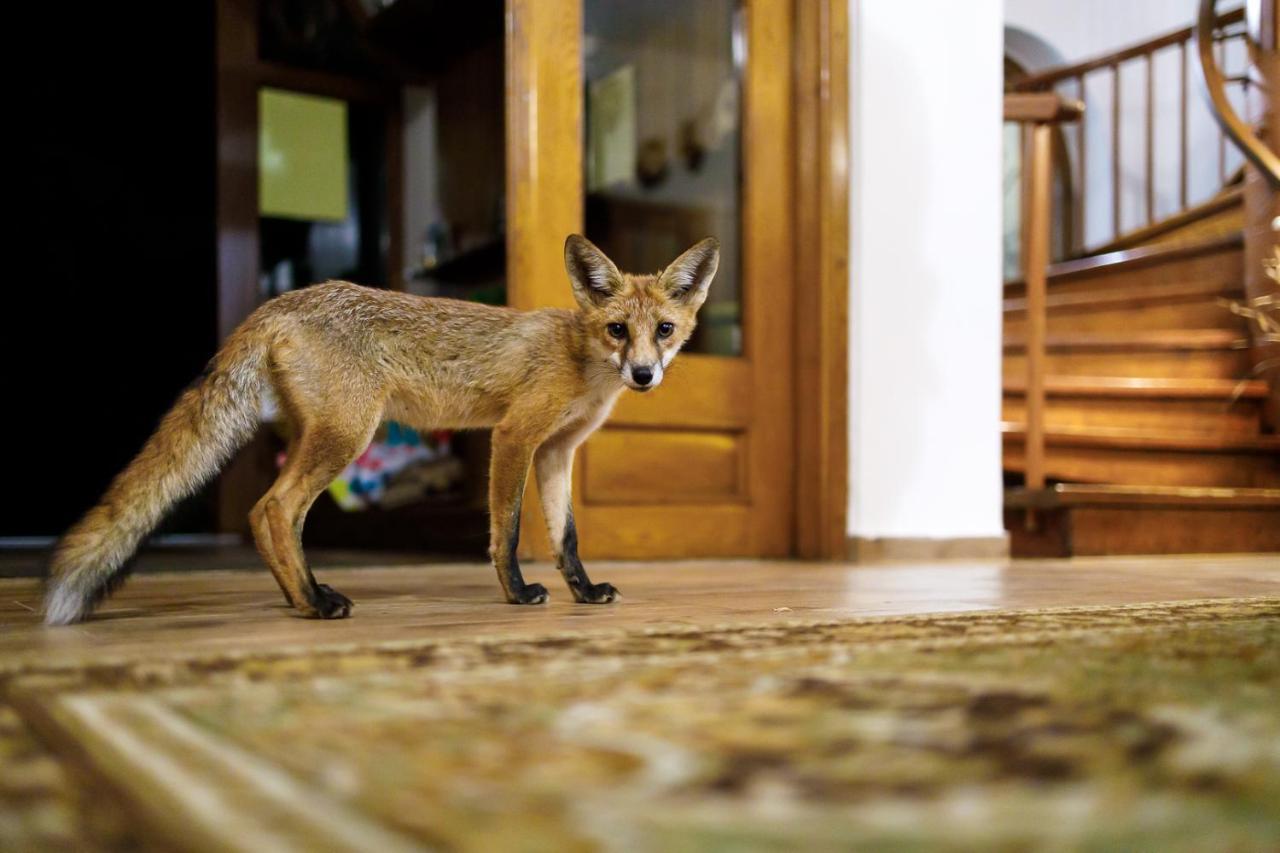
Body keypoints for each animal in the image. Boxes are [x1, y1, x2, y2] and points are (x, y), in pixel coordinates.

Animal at [42, 234, 721, 625]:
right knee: (274, 509)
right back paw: (315, 604)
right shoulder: (515, 438)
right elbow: (506, 533)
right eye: (617, 329)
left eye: (664, 330)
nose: (642, 374)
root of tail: (278, 303)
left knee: (266, 516)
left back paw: (299, 597)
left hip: (320, 435)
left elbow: (566, 539)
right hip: (348, 436)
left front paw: (582, 593)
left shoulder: (557, 451)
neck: (582, 361)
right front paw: (517, 594)